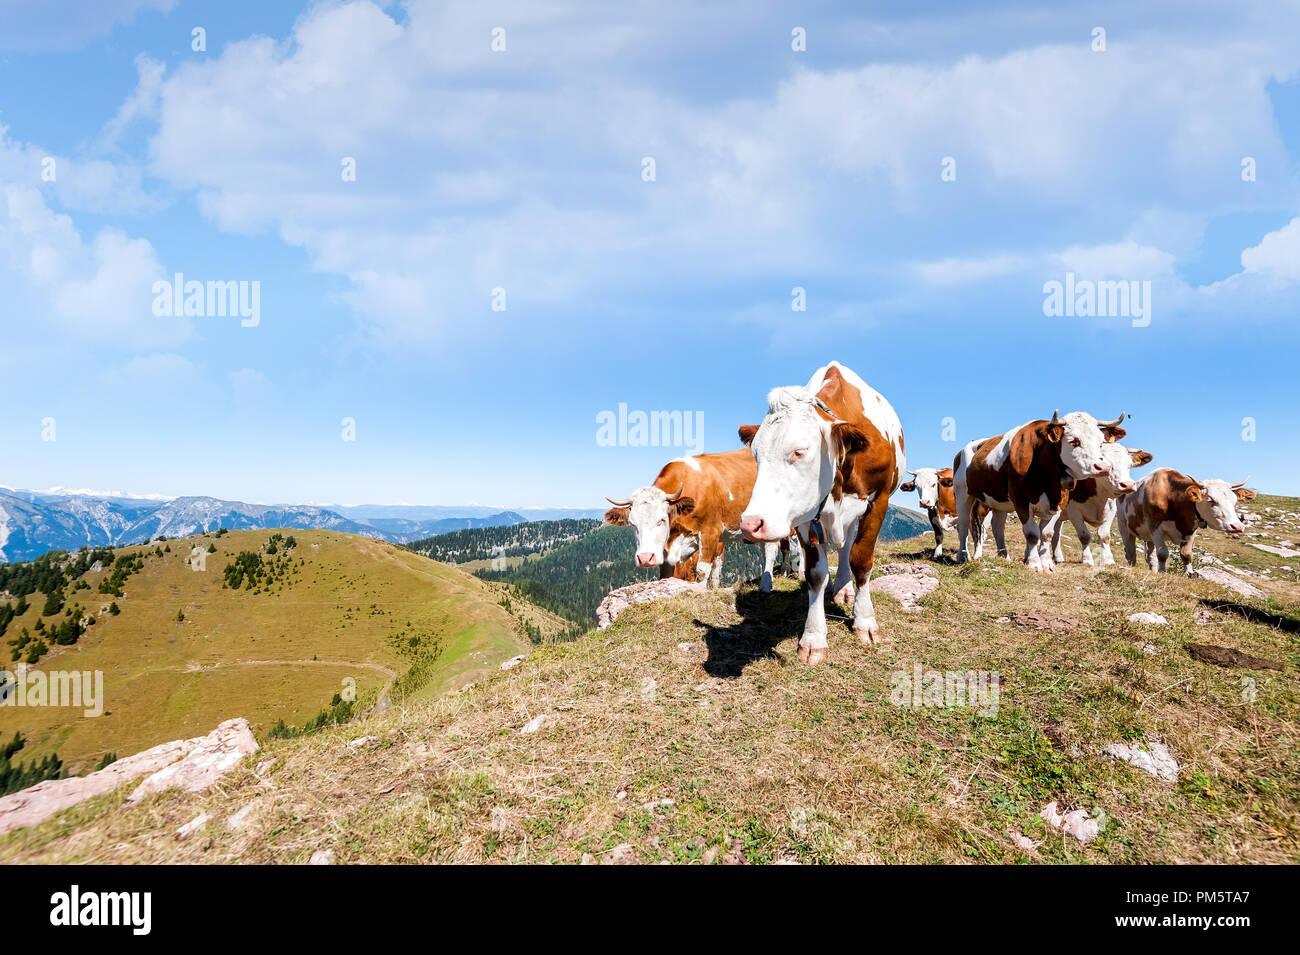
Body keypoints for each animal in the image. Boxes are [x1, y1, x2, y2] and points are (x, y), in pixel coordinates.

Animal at [600, 446, 790, 589]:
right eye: (632, 524)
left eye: (661, 520)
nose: (646, 558)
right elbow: (666, 576)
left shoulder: (710, 533)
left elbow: (702, 571)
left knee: (772, 549)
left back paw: (766, 585)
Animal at [738, 361, 909, 670]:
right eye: (755, 454)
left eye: (799, 451)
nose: (749, 524)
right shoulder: (806, 514)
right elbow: (815, 574)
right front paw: (814, 638)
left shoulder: (879, 500)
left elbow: (861, 560)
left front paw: (865, 621)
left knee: (848, 548)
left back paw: (845, 588)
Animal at [951, 407, 1133, 571]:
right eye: (1074, 441)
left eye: (1101, 443)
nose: (1103, 467)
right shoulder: (1020, 499)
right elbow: (1032, 533)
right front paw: (1034, 563)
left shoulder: (1061, 501)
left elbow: (1047, 534)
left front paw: (1047, 563)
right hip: (963, 494)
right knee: (964, 524)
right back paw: (963, 555)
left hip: (999, 501)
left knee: (998, 527)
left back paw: (1004, 556)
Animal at [1112, 470, 1253, 574]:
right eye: (1211, 500)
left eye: (1235, 501)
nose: (1237, 526)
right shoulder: (1155, 527)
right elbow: (1162, 553)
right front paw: (1163, 572)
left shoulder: (1190, 530)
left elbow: (1187, 555)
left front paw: (1188, 573)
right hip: (1124, 527)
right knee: (1131, 552)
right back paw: (1132, 567)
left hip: (1148, 537)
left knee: (1150, 557)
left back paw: (1153, 571)